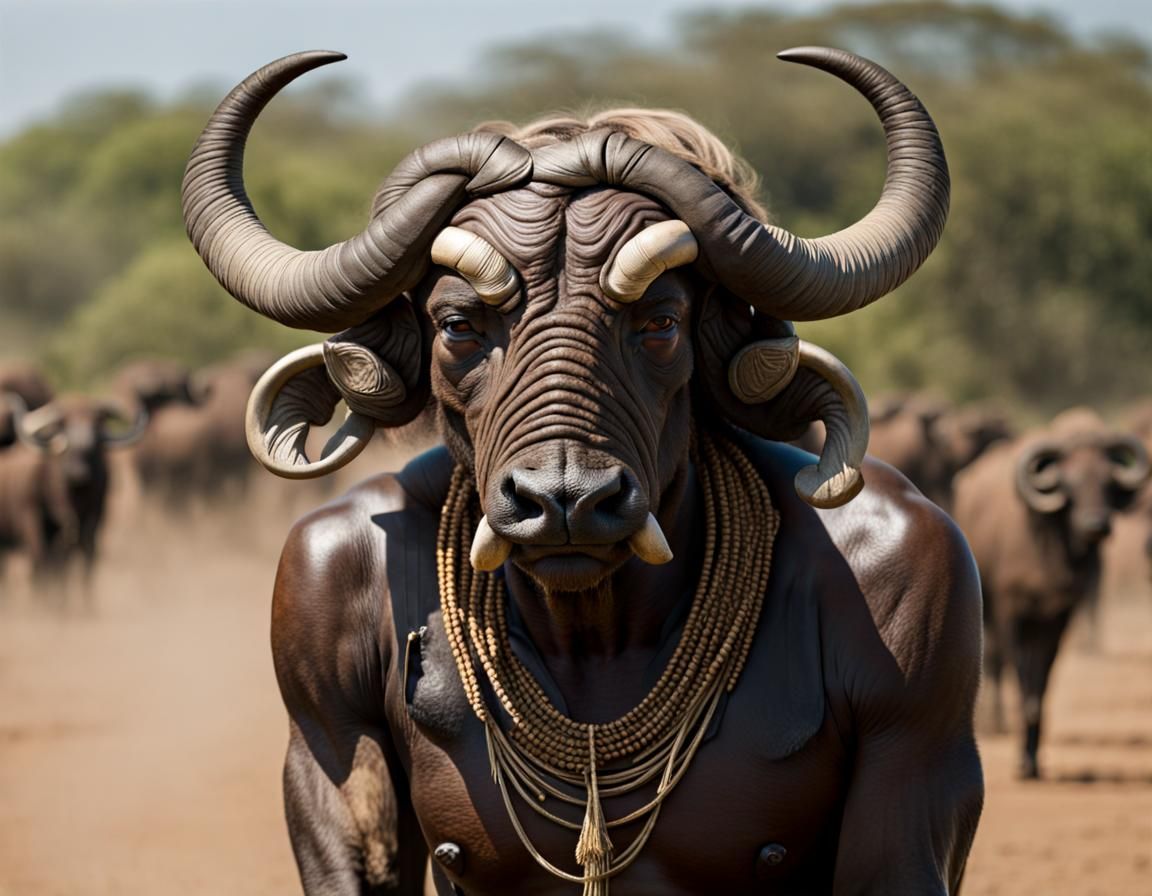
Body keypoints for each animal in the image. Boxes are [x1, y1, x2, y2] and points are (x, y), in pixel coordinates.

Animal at [953, 407, 1149, 778]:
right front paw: (1020, 761)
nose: (1096, 525)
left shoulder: (1057, 619)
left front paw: (1032, 759)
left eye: (1107, 482)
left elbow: (1040, 688)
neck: (1048, 553)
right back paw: (990, 721)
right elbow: (1019, 680)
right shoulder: (1011, 615)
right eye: (1070, 484)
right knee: (995, 663)